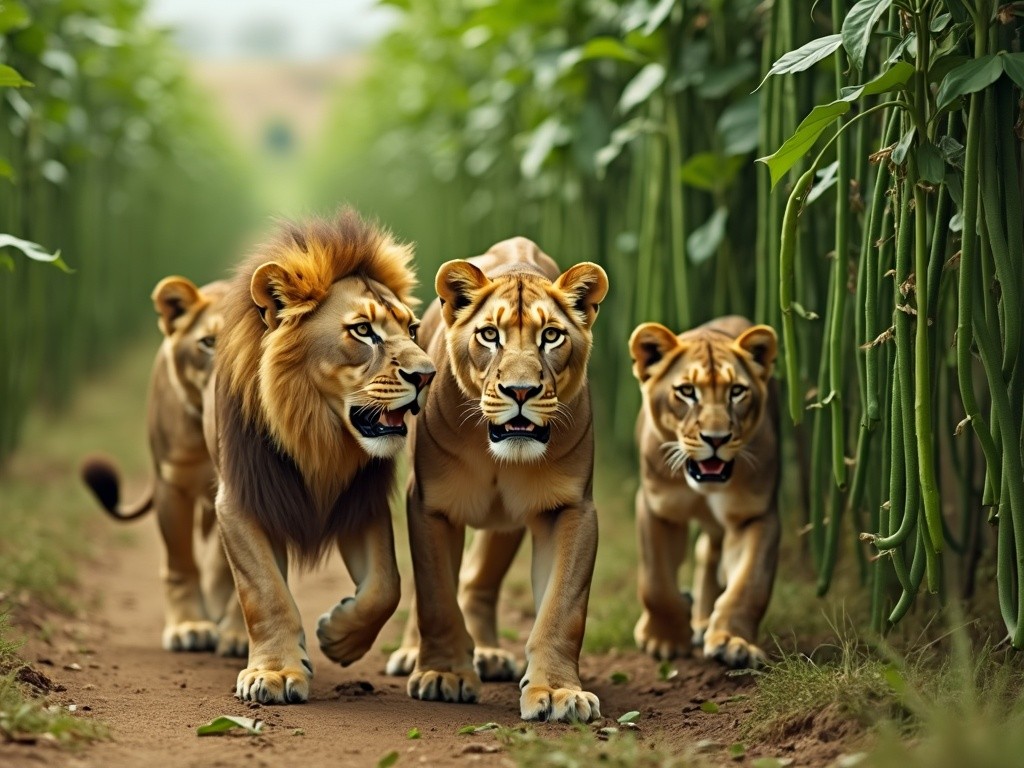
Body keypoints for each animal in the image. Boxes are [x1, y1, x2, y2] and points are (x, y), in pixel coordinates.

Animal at [205, 208, 434, 704]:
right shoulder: (240, 502)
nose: (428, 375)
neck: (318, 438)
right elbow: (266, 592)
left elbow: (386, 585)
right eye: (363, 331)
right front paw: (274, 673)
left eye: (411, 329)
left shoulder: (361, 504)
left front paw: (340, 636)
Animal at [385, 237, 606, 724]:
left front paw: (558, 691)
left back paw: (486, 652)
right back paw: (412, 654)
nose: (520, 391)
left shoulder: (571, 508)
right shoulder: (430, 505)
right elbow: (435, 596)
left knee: (478, 582)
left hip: (507, 523)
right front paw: (443, 675)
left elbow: (563, 609)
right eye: (489, 335)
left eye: (551, 336)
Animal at [626, 315, 778, 671]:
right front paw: (664, 640)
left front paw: (734, 643)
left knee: (710, 555)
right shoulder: (657, 509)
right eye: (686, 392)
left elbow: (750, 584)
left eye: (736, 391)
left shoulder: (755, 515)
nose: (717, 438)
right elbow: (656, 581)